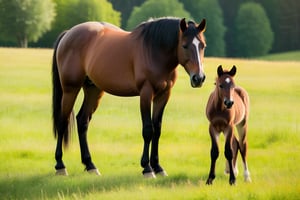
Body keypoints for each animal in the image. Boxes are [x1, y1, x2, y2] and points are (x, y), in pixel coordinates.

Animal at [52, 16, 206, 177]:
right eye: (184, 46)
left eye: (203, 46)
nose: (199, 78)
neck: (154, 51)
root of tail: (69, 33)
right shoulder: (146, 93)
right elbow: (148, 130)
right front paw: (147, 168)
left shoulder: (163, 95)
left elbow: (157, 130)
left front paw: (158, 167)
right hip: (70, 90)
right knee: (62, 122)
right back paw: (60, 165)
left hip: (93, 90)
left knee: (82, 121)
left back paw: (90, 165)